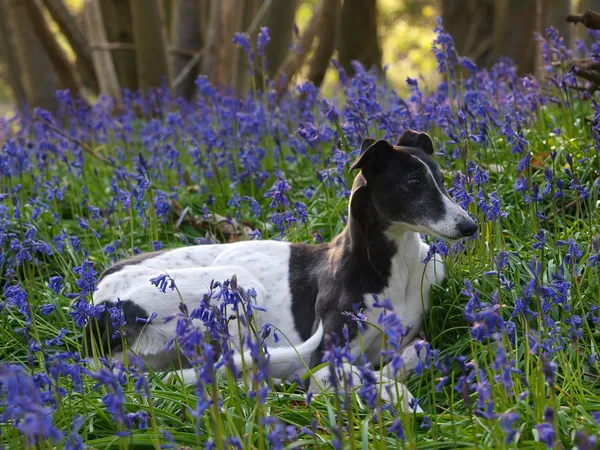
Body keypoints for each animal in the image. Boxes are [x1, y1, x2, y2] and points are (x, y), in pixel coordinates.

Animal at [85, 129, 478, 412]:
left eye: (441, 179)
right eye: (413, 183)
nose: (470, 226)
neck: (390, 266)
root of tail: (95, 309)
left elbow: (418, 350)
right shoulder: (324, 359)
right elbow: (340, 376)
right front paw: (395, 394)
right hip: (234, 286)